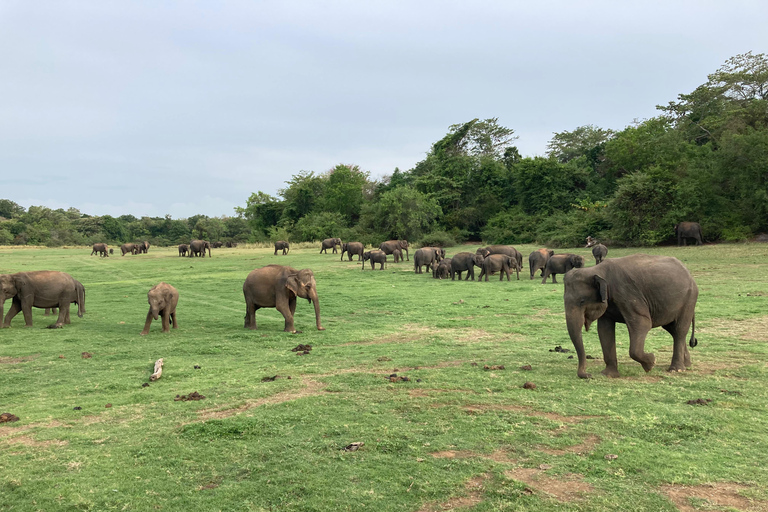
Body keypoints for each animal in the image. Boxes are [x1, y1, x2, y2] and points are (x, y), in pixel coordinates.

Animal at [563, 254, 699, 379]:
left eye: (582, 301)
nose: (589, 375)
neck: (597, 270)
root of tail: (689, 274)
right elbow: (604, 330)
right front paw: (608, 374)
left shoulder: (627, 294)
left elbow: (642, 324)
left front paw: (651, 363)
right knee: (672, 329)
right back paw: (686, 364)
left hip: (689, 299)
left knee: (679, 329)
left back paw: (676, 369)